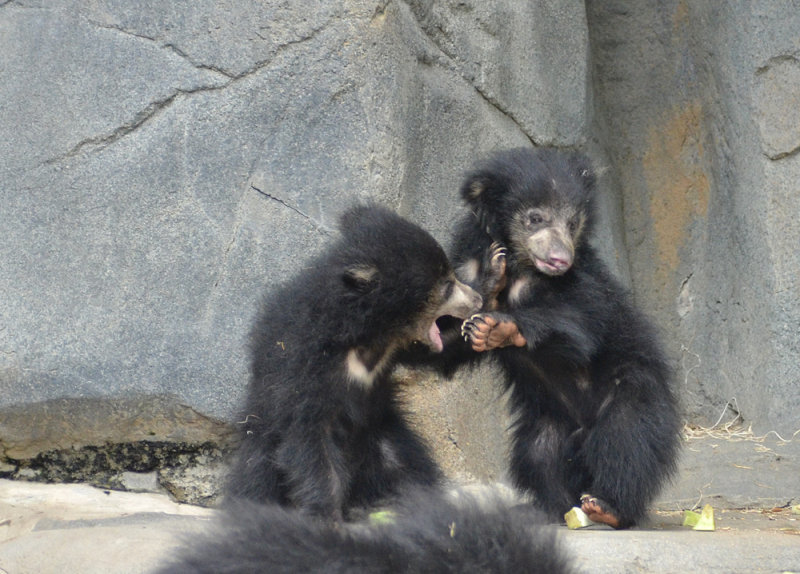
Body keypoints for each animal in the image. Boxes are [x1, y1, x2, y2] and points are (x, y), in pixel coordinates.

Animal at [228, 206, 484, 520]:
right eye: (447, 286)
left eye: (451, 276)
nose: (476, 299)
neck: (368, 335)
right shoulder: (306, 365)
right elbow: (309, 435)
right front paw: (325, 514)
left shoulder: (398, 349)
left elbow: (439, 353)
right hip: (263, 438)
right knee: (257, 474)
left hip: (380, 432)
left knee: (404, 462)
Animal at [454, 148, 680, 532]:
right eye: (535, 218)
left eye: (573, 223)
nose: (560, 259)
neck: (525, 267)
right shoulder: (462, 262)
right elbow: (443, 335)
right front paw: (491, 283)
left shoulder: (586, 278)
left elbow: (581, 323)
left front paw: (500, 326)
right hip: (548, 418)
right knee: (538, 454)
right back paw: (549, 508)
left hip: (632, 389)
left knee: (626, 438)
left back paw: (607, 506)